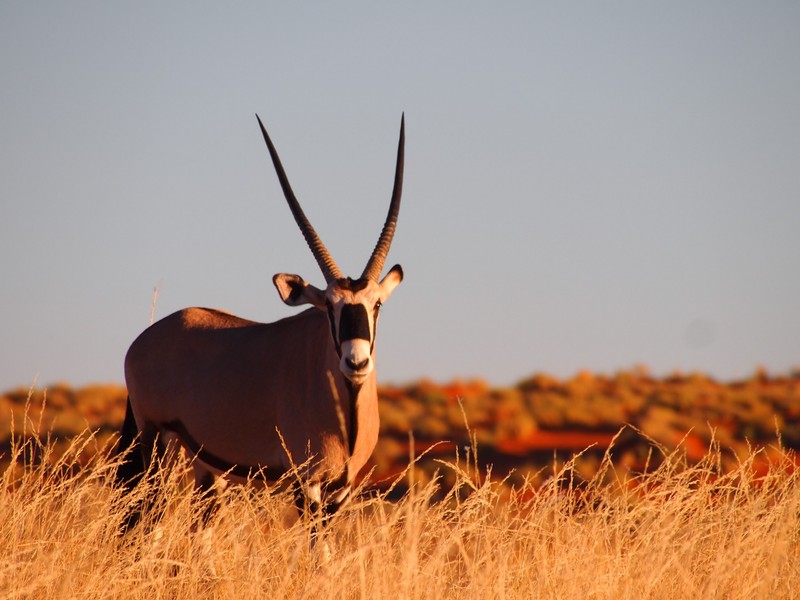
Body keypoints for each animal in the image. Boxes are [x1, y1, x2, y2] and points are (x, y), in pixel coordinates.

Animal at [117, 115, 406, 532]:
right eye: (328, 306)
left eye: (377, 304)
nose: (356, 362)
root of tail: (142, 341)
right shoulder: (307, 483)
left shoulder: (341, 490)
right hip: (157, 447)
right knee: (146, 523)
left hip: (208, 468)